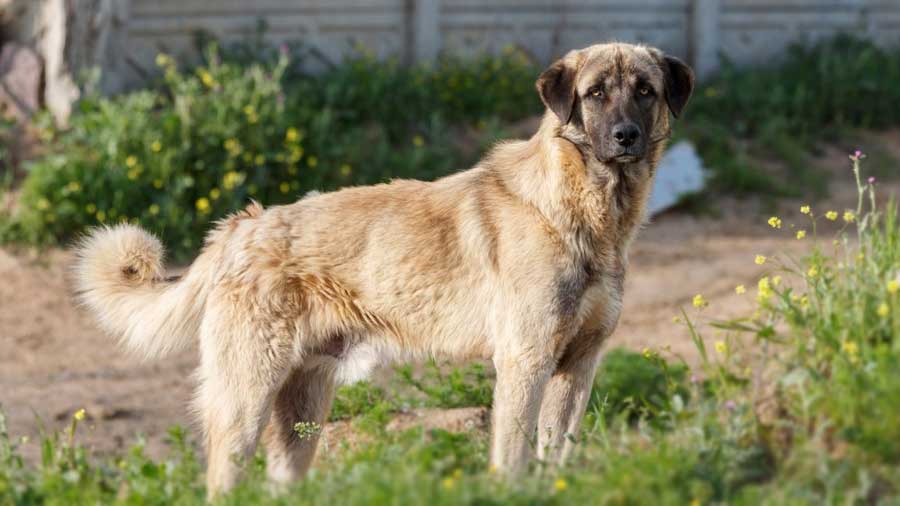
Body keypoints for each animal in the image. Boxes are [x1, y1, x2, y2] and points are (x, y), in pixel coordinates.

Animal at [75, 42, 696, 498]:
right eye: (595, 94)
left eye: (645, 91)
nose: (626, 137)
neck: (580, 208)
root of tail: (240, 227)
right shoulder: (526, 362)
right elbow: (514, 456)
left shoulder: (578, 366)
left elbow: (556, 454)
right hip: (244, 401)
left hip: (301, 415)